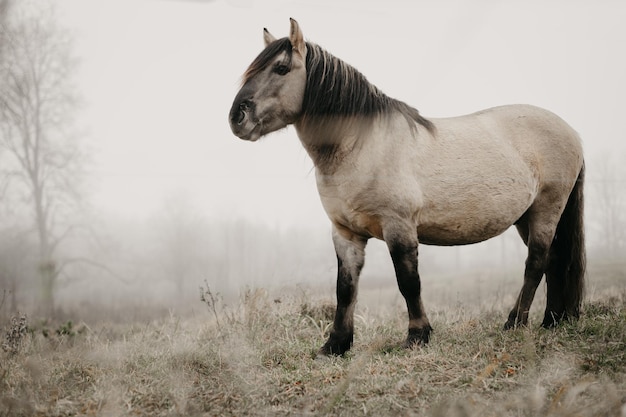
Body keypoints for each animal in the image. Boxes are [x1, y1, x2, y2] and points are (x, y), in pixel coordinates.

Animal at [227, 17, 584, 352]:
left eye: (281, 68)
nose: (236, 118)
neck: (362, 145)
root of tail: (570, 131)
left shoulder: (398, 228)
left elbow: (408, 281)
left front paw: (417, 336)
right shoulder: (345, 233)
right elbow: (345, 287)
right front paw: (335, 345)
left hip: (546, 208)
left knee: (536, 262)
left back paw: (515, 323)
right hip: (525, 216)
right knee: (553, 261)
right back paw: (552, 321)